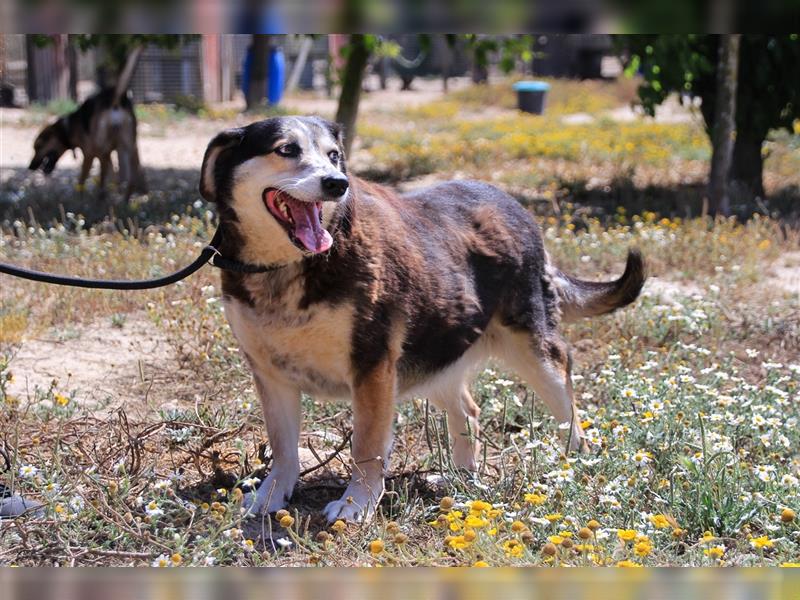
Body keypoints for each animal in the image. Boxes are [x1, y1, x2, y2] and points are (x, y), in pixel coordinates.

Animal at [200, 116, 648, 520]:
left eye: (334, 155)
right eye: (287, 149)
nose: (337, 183)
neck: (287, 267)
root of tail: (516, 206)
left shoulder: (373, 367)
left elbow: (366, 448)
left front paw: (356, 504)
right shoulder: (270, 373)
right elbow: (283, 448)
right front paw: (271, 496)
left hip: (535, 354)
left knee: (570, 415)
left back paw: (575, 468)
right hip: (432, 356)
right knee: (469, 410)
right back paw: (463, 478)